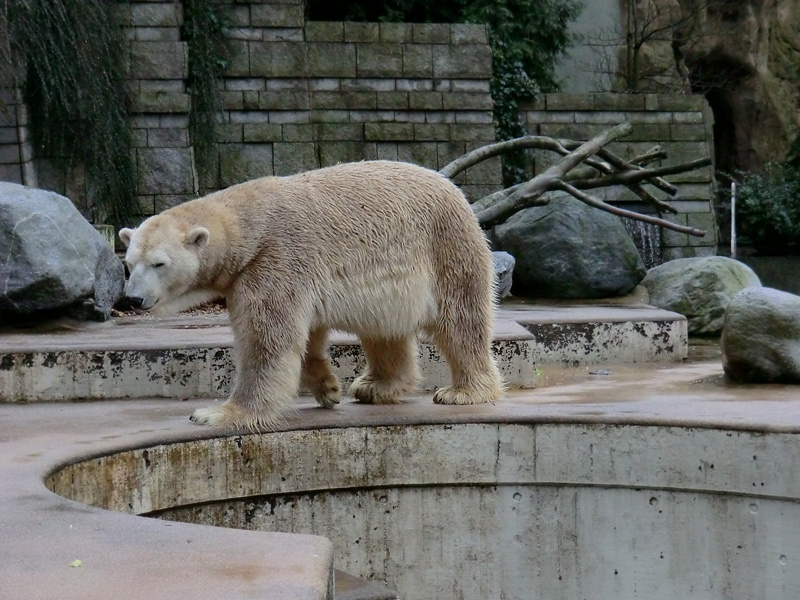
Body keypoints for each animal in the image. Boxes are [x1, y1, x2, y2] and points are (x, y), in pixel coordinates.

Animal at [119, 162, 504, 428]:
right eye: (129, 263)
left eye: (159, 263)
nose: (133, 300)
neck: (249, 225)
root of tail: (453, 188)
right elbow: (305, 335)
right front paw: (328, 388)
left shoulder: (275, 258)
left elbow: (267, 339)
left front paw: (217, 413)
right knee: (384, 329)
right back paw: (373, 386)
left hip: (446, 247)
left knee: (461, 321)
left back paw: (463, 392)